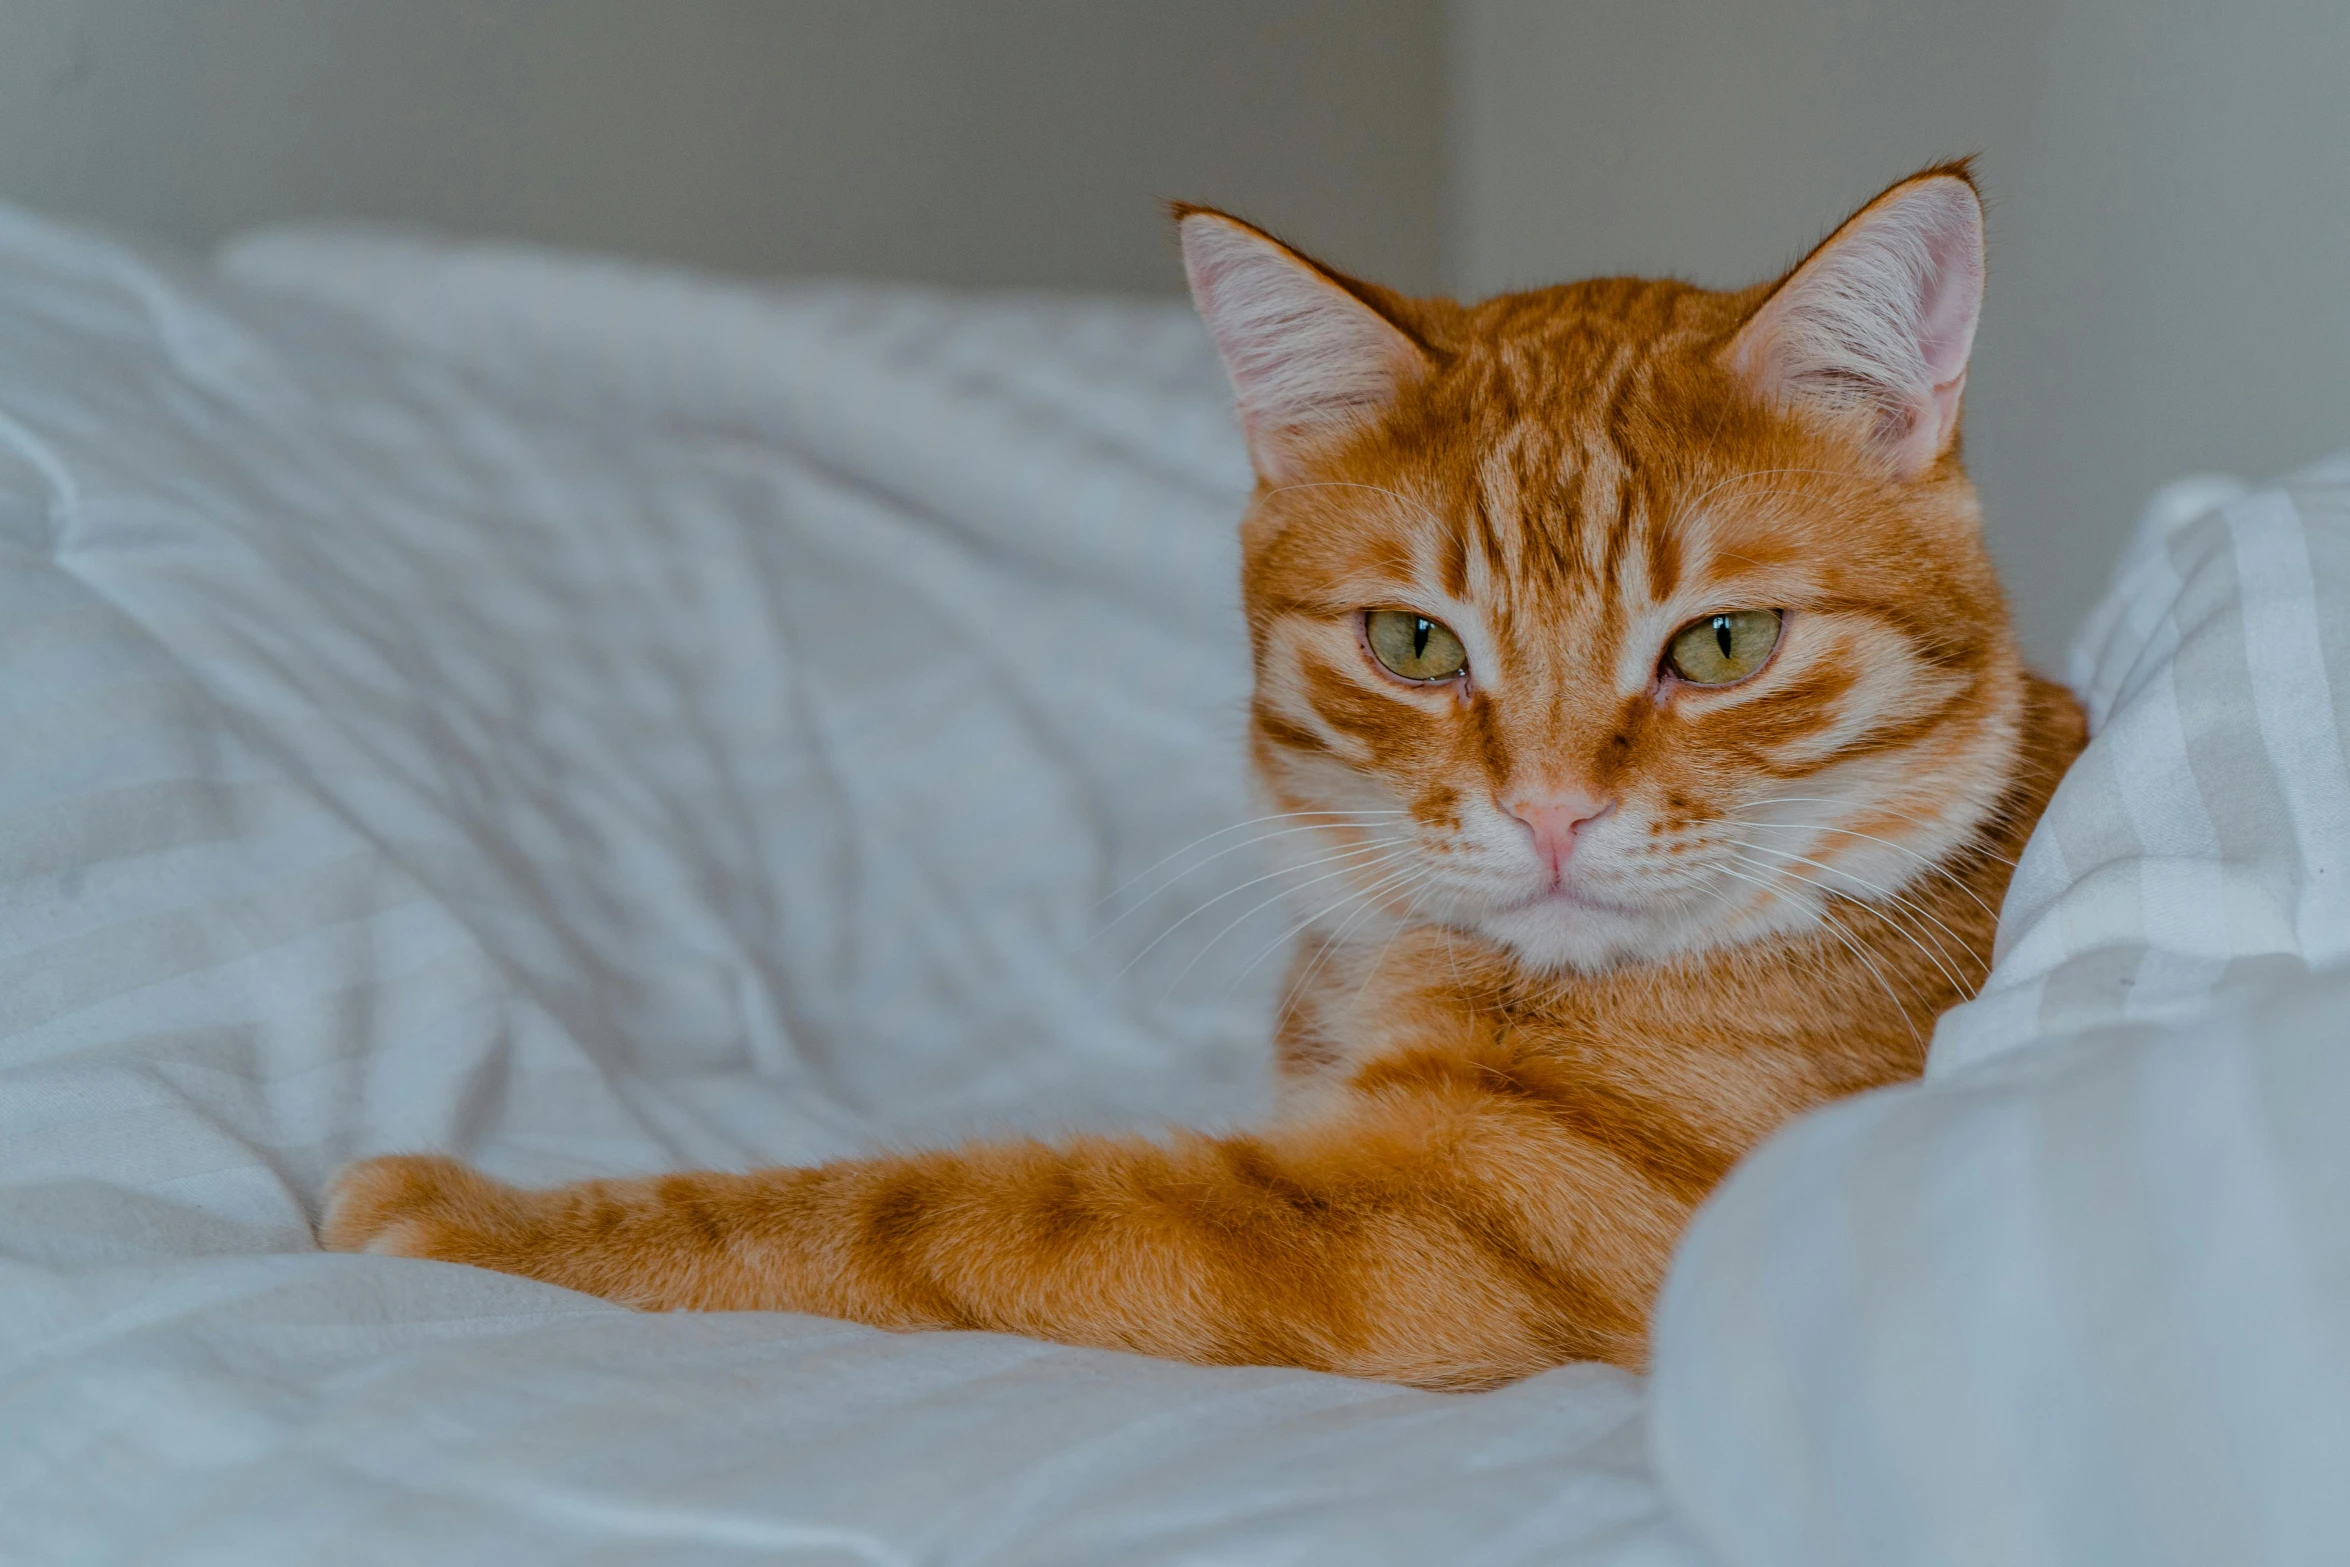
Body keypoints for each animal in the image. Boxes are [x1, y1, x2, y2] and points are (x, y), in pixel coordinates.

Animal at [326, 165, 2077, 1390]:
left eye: (1720, 643)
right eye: (1412, 642)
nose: (1549, 812)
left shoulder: (1410, 1231)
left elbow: (887, 1214)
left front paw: (478, 1217)